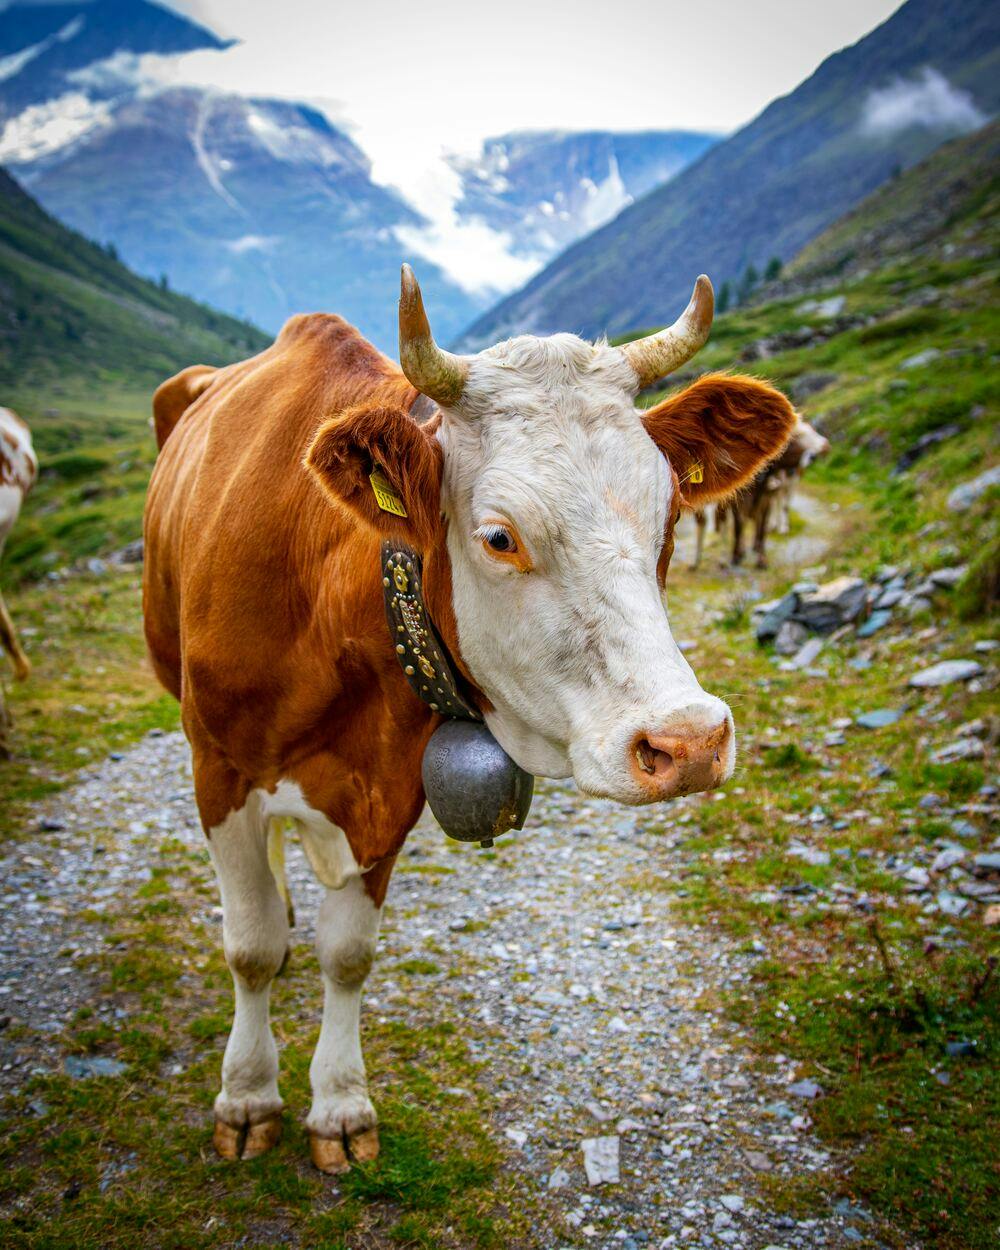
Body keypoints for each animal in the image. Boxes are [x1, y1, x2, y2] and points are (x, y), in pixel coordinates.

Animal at [143, 268, 796, 1173]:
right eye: (499, 537)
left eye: (668, 517)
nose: (689, 741)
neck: (321, 599)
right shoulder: (218, 768)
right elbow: (251, 946)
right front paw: (246, 1097)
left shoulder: (387, 791)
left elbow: (347, 954)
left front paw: (338, 1106)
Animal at [691, 414, 829, 569]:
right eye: (797, 436)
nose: (814, 455)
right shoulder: (737, 503)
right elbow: (738, 527)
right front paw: (736, 556)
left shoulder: (767, 498)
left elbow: (762, 528)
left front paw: (761, 558)